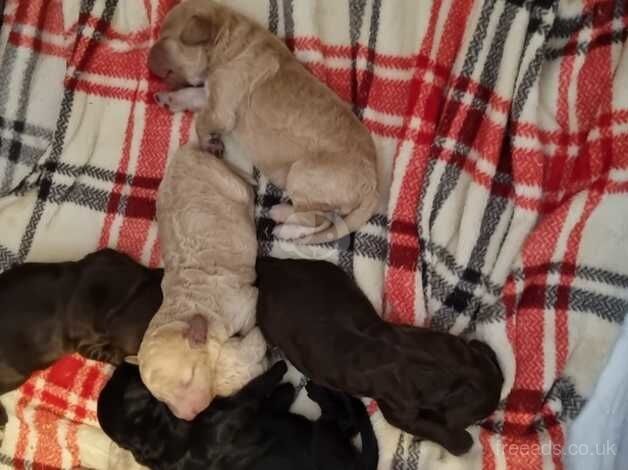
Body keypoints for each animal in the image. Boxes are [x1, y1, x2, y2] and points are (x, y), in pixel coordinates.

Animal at [95, 362, 376, 468]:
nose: (126, 362)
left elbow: (274, 399)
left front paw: (284, 388)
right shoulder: (236, 408)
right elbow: (255, 389)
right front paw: (279, 370)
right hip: (322, 435)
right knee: (343, 416)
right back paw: (320, 390)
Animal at [136, 145, 266, 420]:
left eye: (189, 378)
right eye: (162, 400)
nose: (189, 418)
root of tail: (184, 153)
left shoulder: (244, 302)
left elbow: (250, 319)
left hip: (223, 179)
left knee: (241, 185)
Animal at [150, 0, 380, 244]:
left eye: (165, 38)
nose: (146, 59)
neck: (229, 41)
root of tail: (373, 186)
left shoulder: (221, 110)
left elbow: (202, 122)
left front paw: (210, 143)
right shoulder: (212, 93)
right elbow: (191, 95)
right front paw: (169, 99)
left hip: (302, 174)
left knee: (316, 218)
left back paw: (282, 223)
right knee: (325, 217)